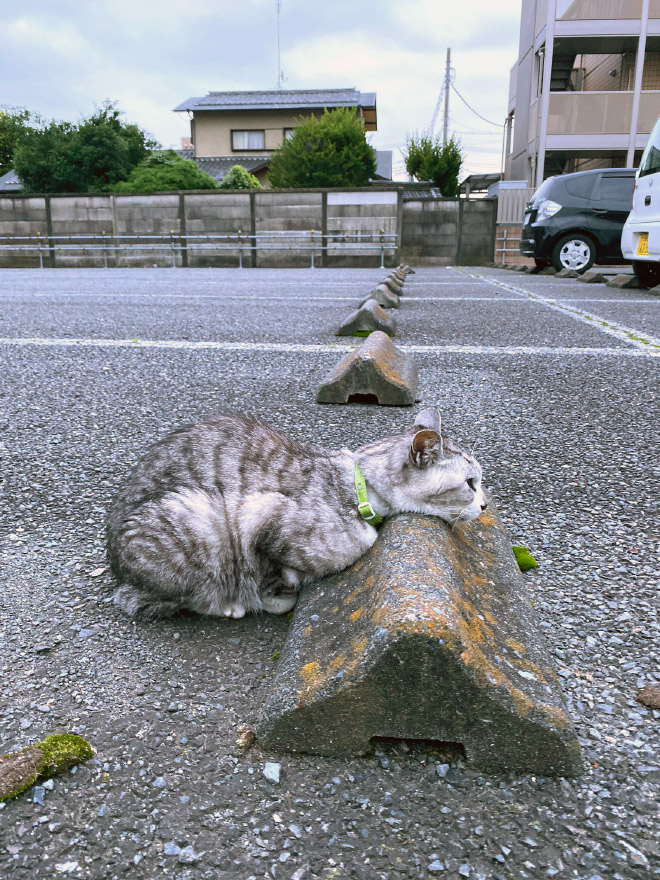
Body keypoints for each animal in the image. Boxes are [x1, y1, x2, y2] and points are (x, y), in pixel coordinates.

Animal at [107, 410, 484, 624]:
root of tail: (115, 565)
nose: (484, 506)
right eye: (470, 483)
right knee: (145, 600)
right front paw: (271, 597)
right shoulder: (258, 520)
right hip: (198, 522)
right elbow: (274, 576)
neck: (359, 488)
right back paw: (226, 604)